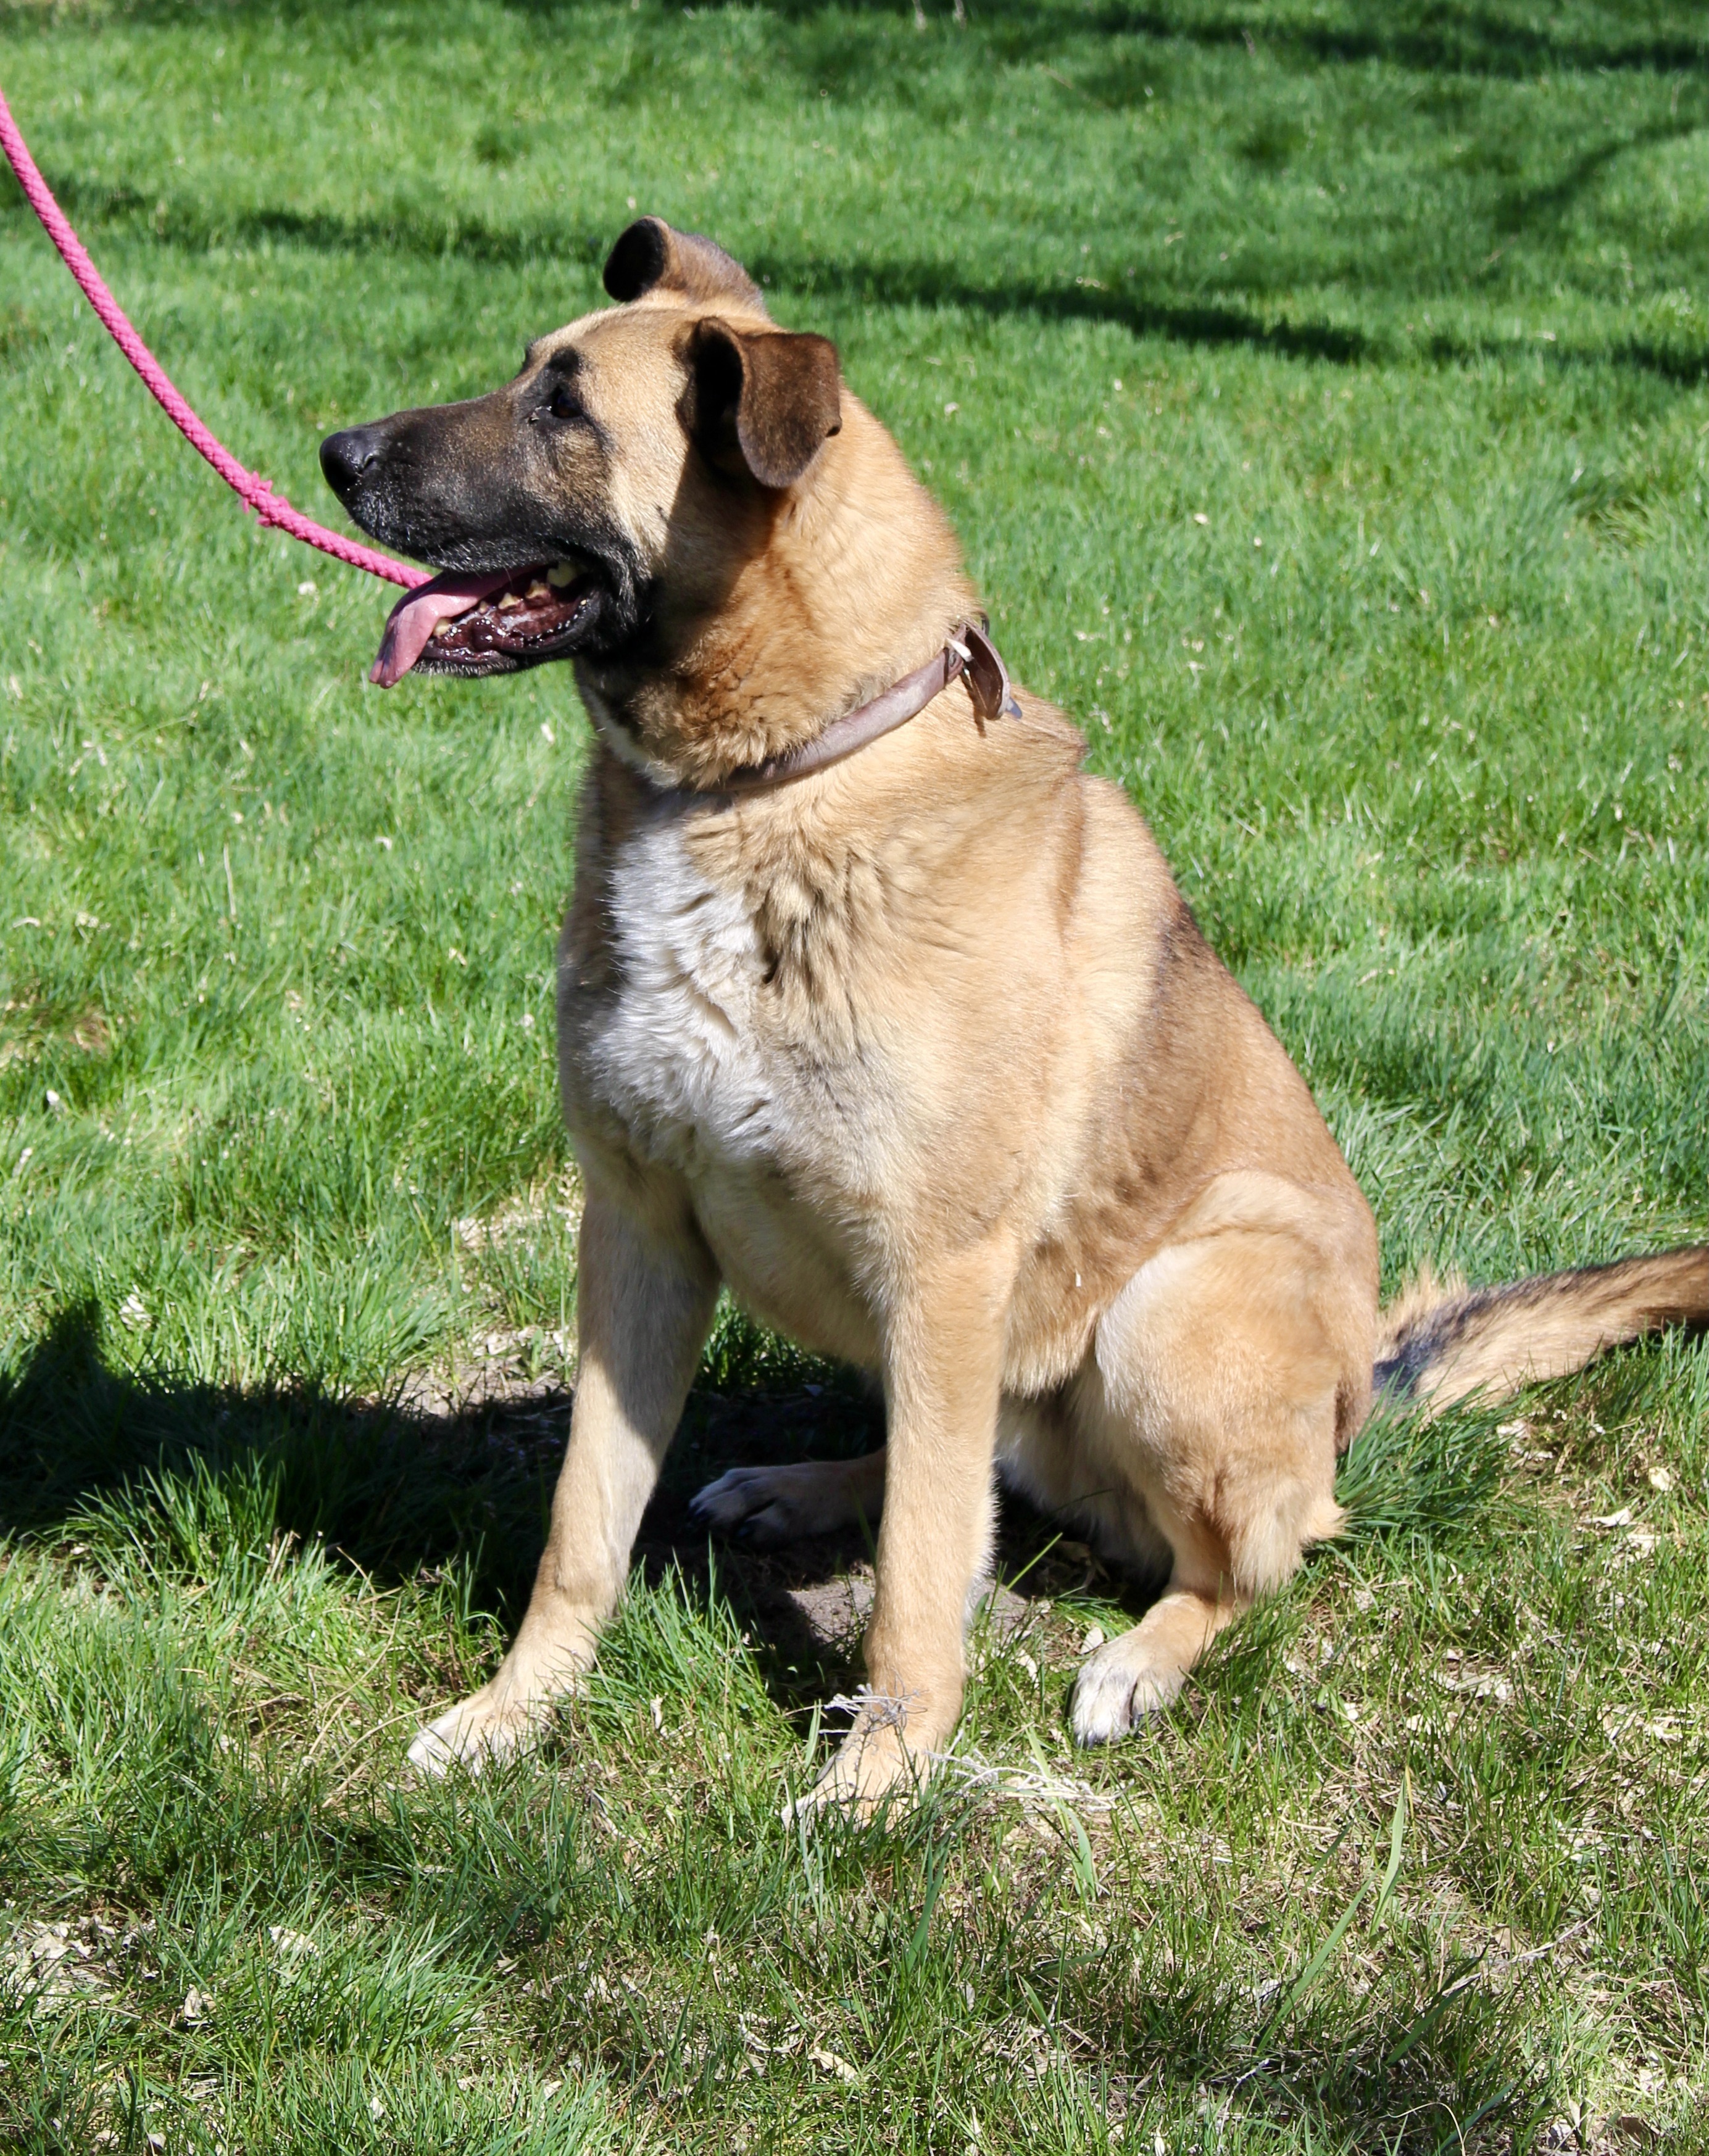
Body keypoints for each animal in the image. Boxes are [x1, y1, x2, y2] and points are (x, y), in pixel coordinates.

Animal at [318, 218, 1707, 1810]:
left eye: (563, 409)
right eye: (522, 374)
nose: (334, 452)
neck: (766, 782)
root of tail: (1363, 1386)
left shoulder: (941, 1266)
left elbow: (924, 1577)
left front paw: (882, 1776)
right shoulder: (639, 1230)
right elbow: (583, 1528)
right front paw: (514, 1712)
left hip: (1171, 1312)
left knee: (1247, 1553)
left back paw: (1139, 1656)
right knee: (974, 1465)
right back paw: (803, 1486)